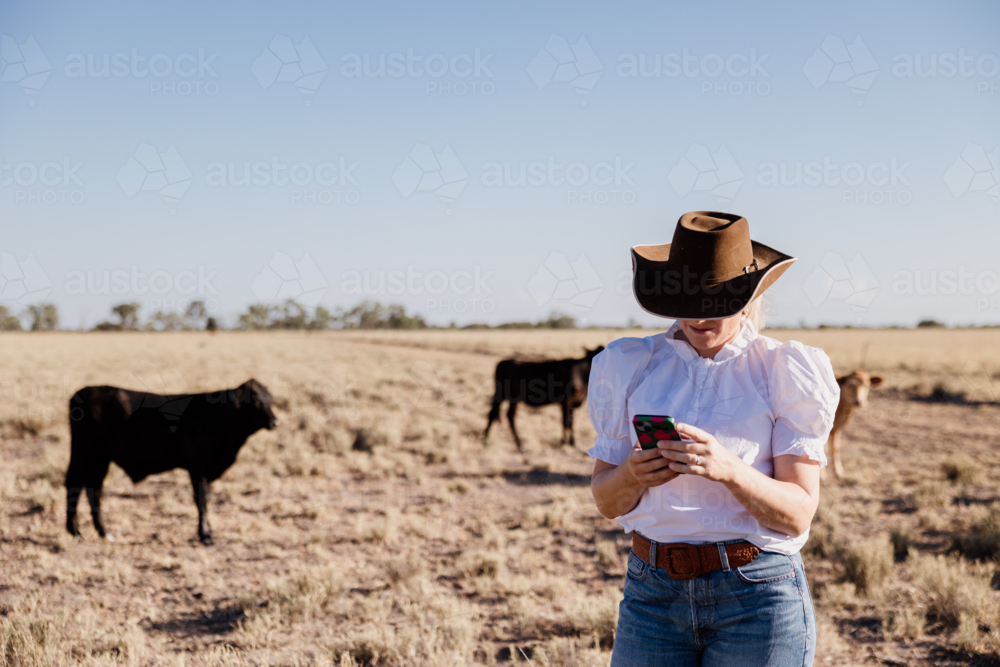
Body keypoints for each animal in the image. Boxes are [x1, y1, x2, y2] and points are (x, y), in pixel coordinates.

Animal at [66, 378, 278, 544]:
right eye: (256, 401)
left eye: (269, 398)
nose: (275, 422)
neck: (216, 417)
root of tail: (83, 392)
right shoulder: (198, 468)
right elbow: (201, 499)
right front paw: (205, 535)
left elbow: (206, 498)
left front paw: (208, 531)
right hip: (85, 454)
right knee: (75, 486)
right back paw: (76, 533)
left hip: (99, 460)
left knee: (94, 491)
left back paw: (104, 533)